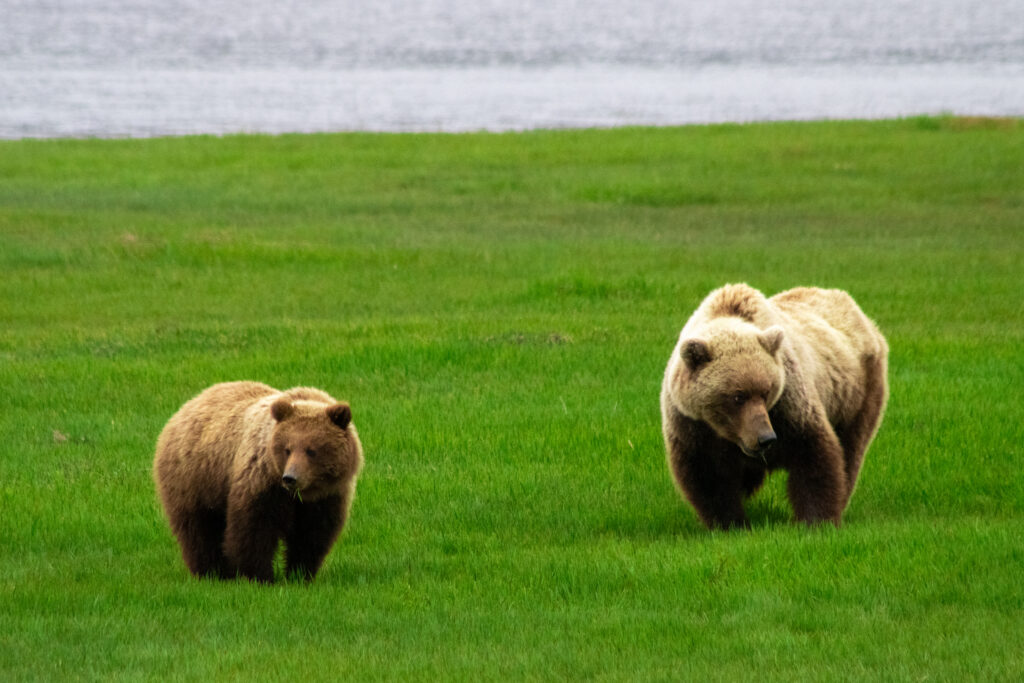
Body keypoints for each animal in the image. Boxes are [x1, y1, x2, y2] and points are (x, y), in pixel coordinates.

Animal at [149, 382, 362, 581]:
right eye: (287, 449)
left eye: (311, 450)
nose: (290, 478)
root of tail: (186, 407)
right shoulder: (262, 481)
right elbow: (254, 528)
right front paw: (259, 575)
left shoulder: (327, 497)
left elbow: (312, 535)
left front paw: (299, 574)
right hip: (194, 479)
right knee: (198, 529)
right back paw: (211, 572)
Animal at [659, 282, 884, 528]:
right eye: (737, 396)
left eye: (766, 391)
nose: (765, 438)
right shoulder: (692, 424)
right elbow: (708, 475)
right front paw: (730, 523)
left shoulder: (788, 405)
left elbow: (813, 453)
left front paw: (816, 520)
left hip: (857, 393)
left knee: (851, 448)